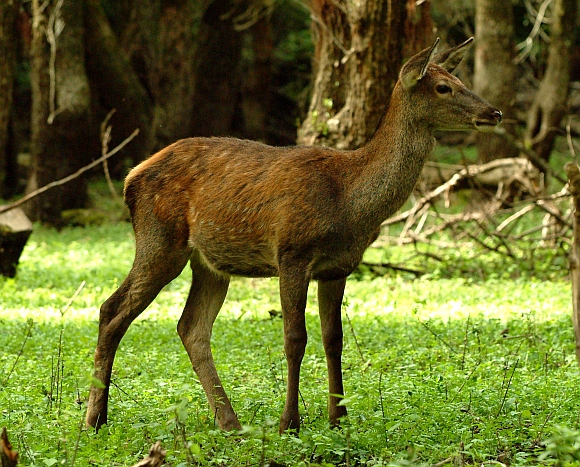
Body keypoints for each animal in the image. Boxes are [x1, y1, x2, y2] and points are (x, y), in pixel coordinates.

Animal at [86, 37, 502, 436]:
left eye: (458, 79)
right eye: (444, 87)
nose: (493, 113)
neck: (348, 200)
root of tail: (130, 178)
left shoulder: (338, 267)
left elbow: (333, 338)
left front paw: (338, 417)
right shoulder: (291, 252)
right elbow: (294, 338)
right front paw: (290, 422)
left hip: (209, 263)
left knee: (191, 327)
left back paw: (229, 422)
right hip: (160, 239)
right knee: (112, 309)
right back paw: (95, 418)